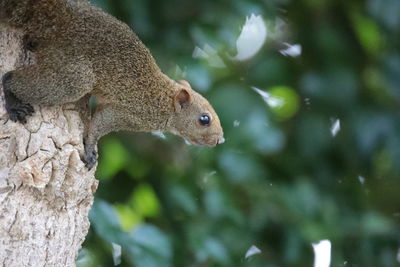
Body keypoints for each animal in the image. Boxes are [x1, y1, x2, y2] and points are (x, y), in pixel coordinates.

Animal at [0, 0, 225, 170]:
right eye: (204, 119)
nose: (220, 140)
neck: (164, 99)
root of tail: (61, 18)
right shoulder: (129, 114)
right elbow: (99, 124)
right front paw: (90, 150)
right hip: (74, 75)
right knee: (11, 78)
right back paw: (14, 102)